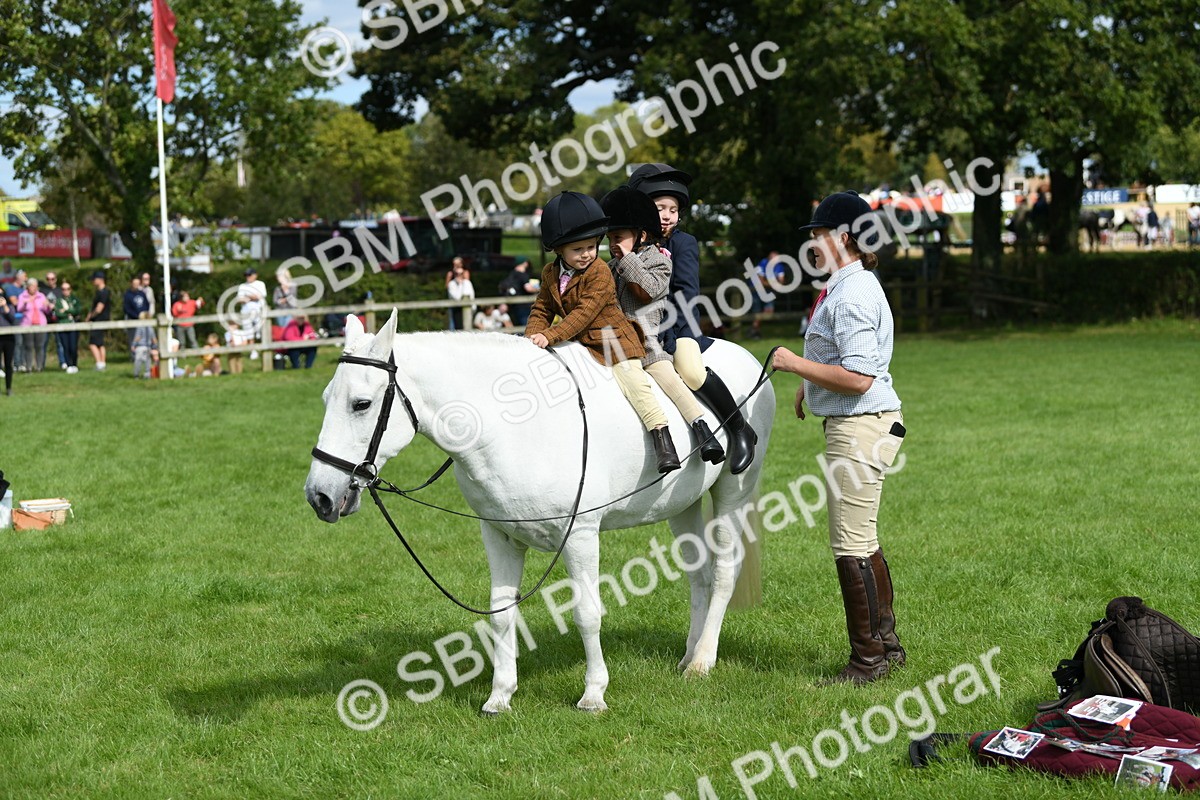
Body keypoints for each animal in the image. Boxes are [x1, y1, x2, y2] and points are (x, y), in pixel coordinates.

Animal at [305, 312, 776, 714]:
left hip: (733, 492)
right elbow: (501, 614)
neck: (512, 426)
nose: (319, 496)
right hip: (683, 505)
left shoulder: (581, 536)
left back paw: (703, 661)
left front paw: (593, 694)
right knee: (699, 575)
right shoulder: (499, 536)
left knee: (723, 572)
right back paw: (689, 654)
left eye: (361, 404)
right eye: (325, 399)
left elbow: (587, 612)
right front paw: (500, 696)